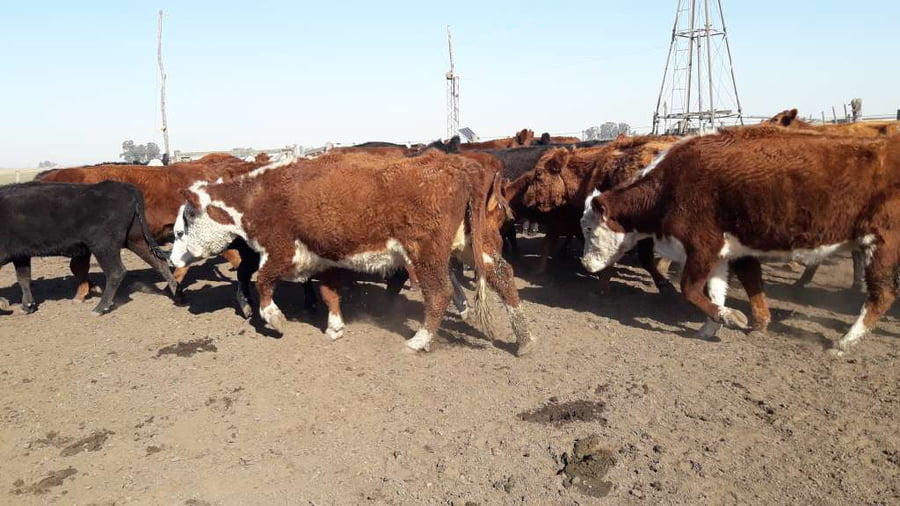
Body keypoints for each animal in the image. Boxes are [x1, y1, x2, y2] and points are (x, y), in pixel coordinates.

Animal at [0, 181, 179, 315]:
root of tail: (124, 187)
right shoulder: (21, 255)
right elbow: (23, 278)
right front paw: (27, 306)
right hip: (135, 239)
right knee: (159, 263)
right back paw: (176, 292)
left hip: (103, 246)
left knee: (116, 272)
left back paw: (100, 307)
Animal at [169, 150, 535, 355]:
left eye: (181, 228)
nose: (172, 260)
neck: (261, 194)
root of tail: (459, 167)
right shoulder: (325, 255)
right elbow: (329, 291)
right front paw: (334, 326)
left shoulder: (282, 251)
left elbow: (262, 281)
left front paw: (274, 319)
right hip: (477, 245)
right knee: (504, 277)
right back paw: (524, 340)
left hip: (426, 254)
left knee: (440, 293)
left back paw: (419, 341)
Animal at [581, 126, 900, 355]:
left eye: (588, 228)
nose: (584, 264)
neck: (670, 184)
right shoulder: (725, 251)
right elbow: (725, 287)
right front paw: (716, 325)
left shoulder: (702, 246)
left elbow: (690, 289)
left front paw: (731, 317)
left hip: (881, 244)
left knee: (882, 295)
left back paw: (844, 342)